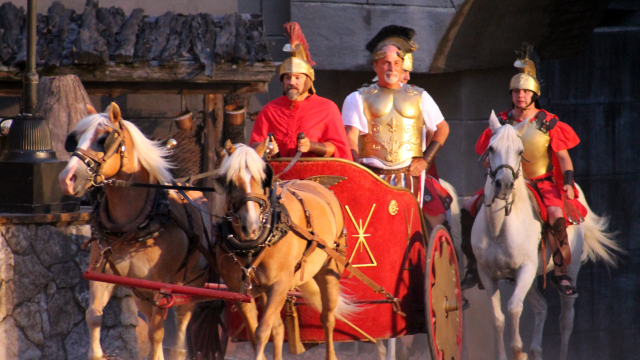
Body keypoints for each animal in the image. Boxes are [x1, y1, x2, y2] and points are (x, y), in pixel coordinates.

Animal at [58, 104, 211, 360]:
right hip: (141, 291)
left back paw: (179, 350)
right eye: (75, 139)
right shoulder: (102, 275)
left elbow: (157, 333)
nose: (67, 179)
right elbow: (93, 315)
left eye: (103, 139)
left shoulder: (162, 285)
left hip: (191, 280)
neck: (134, 227)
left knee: (182, 317)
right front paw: (96, 352)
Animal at [214, 142, 356, 360]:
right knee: (280, 328)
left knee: (327, 319)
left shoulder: (279, 285)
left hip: (329, 270)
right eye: (229, 180)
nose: (251, 226)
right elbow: (256, 332)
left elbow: (262, 331)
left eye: (263, 178)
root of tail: (318, 186)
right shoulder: (239, 290)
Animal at [472, 112, 616, 360]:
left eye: (520, 151)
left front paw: (518, 351)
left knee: (566, 319)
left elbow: (513, 308)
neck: (499, 228)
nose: (503, 185)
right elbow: (498, 318)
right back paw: (536, 350)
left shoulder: (526, 269)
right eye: (491, 148)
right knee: (540, 307)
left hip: (570, 269)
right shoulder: (487, 274)